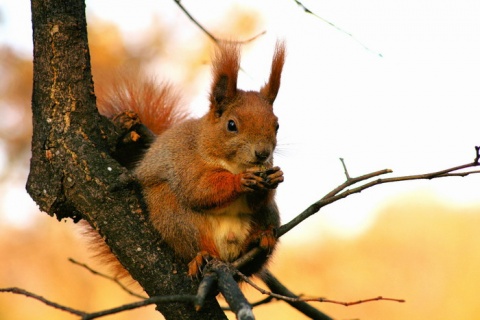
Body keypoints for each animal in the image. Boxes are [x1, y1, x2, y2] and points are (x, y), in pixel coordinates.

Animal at [95, 42, 286, 278]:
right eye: (231, 125)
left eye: (276, 125)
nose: (262, 153)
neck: (233, 164)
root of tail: (225, 255)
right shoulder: (185, 163)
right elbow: (199, 189)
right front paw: (240, 181)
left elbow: (256, 201)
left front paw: (275, 177)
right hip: (176, 217)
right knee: (193, 243)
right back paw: (200, 256)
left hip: (269, 215)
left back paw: (259, 239)